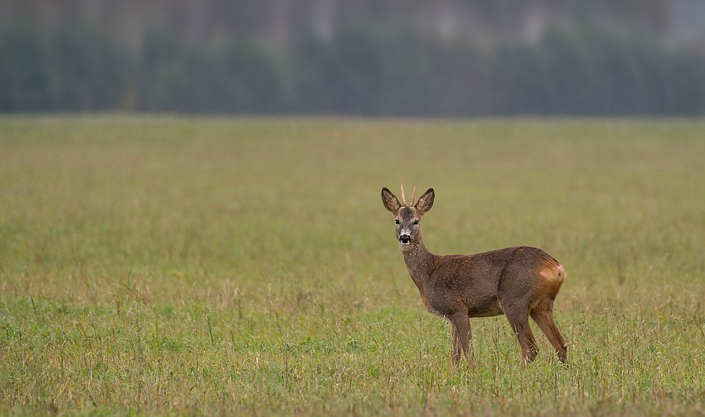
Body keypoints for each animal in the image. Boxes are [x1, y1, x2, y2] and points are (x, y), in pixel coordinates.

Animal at [381, 181, 567, 367]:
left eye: (416, 221)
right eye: (397, 220)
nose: (405, 238)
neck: (428, 273)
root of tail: (557, 268)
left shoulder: (458, 308)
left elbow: (468, 350)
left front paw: (474, 371)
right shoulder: (452, 316)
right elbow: (454, 355)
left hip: (515, 300)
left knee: (530, 347)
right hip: (541, 306)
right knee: (560, 344)